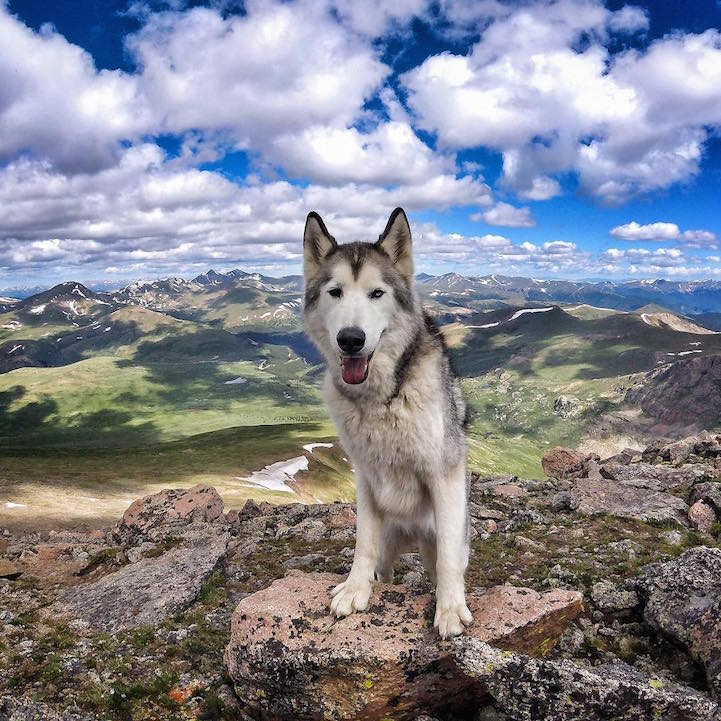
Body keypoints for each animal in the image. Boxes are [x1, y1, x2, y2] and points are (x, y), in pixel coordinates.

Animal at [302, 207, 472, 638]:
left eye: (377, 294)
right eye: (335, 292)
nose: (351, 339)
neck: (381, 398)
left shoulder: (444, 473)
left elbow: (448, 560)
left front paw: (449, 609)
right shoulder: (365, 475)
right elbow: (363, 541)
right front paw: (354, 589)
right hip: (390, 545)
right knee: (385, 567)